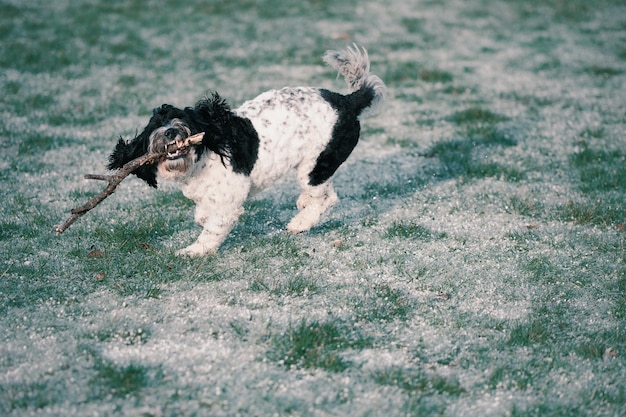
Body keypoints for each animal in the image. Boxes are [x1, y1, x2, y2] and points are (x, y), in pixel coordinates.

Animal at [107, 44, 386, 255]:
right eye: (155, 125)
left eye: (181, 120)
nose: (170, 132)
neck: (202, 158)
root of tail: (348, 101)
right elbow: (202, 215)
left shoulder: (229, 200)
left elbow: (213, 228)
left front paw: (194, 251)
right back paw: (303, 203)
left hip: (316, 165)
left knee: (326, 198)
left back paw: (300, 223)